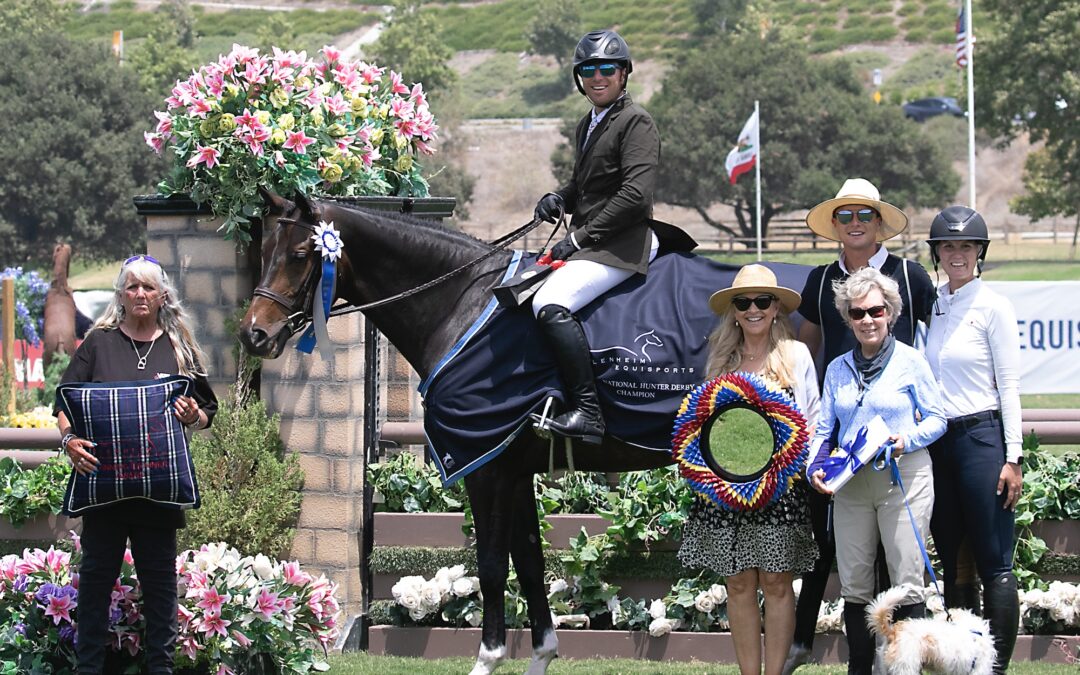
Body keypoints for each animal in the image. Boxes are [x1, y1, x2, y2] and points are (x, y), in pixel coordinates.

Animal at [240, 192, 717, 669]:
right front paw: (542, 654)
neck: (462, 302)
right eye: (263, 252)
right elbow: (529, 561)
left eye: (300, 254)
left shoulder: (485, 465)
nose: (254, 335)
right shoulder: (514, 469)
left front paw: (488, 658)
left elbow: (490, 565)